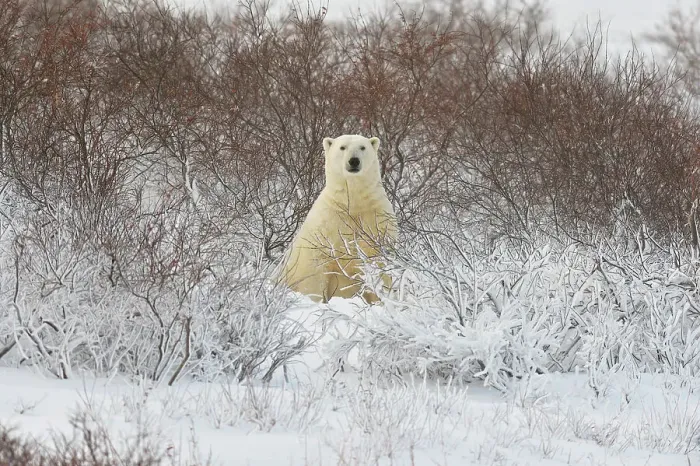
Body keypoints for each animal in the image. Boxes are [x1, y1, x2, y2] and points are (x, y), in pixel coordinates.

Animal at [277, 134, 398, 304]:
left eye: (362, 147)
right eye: (342, 147)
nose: (354, 161)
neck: (352, 204)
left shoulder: (377, 219)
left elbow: (379, 259)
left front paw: (383, 298)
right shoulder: (326, 223)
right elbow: (315, 268)